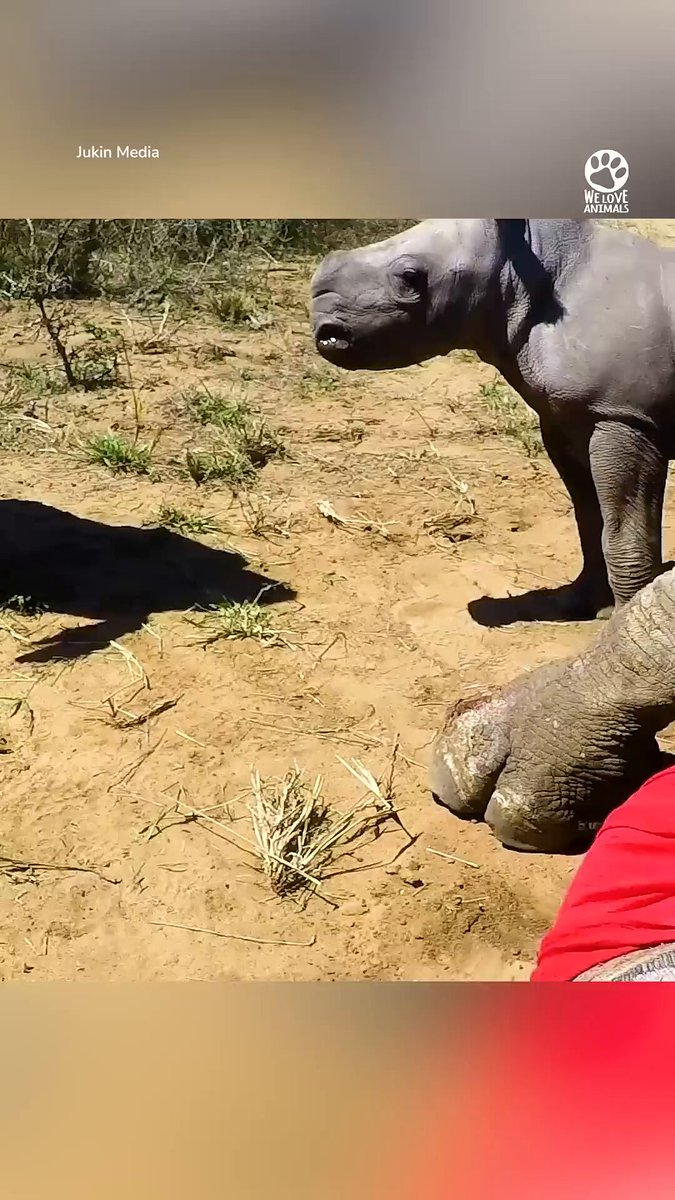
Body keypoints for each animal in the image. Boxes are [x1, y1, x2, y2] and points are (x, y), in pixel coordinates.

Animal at [310, 219, 675, 620]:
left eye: (410, 277)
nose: (324, 327)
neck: (526, 271)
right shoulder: (568, 416)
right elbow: (589, 518)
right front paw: (582, 605)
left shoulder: (625, 416)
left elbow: (623, 531)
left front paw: (622, 619)